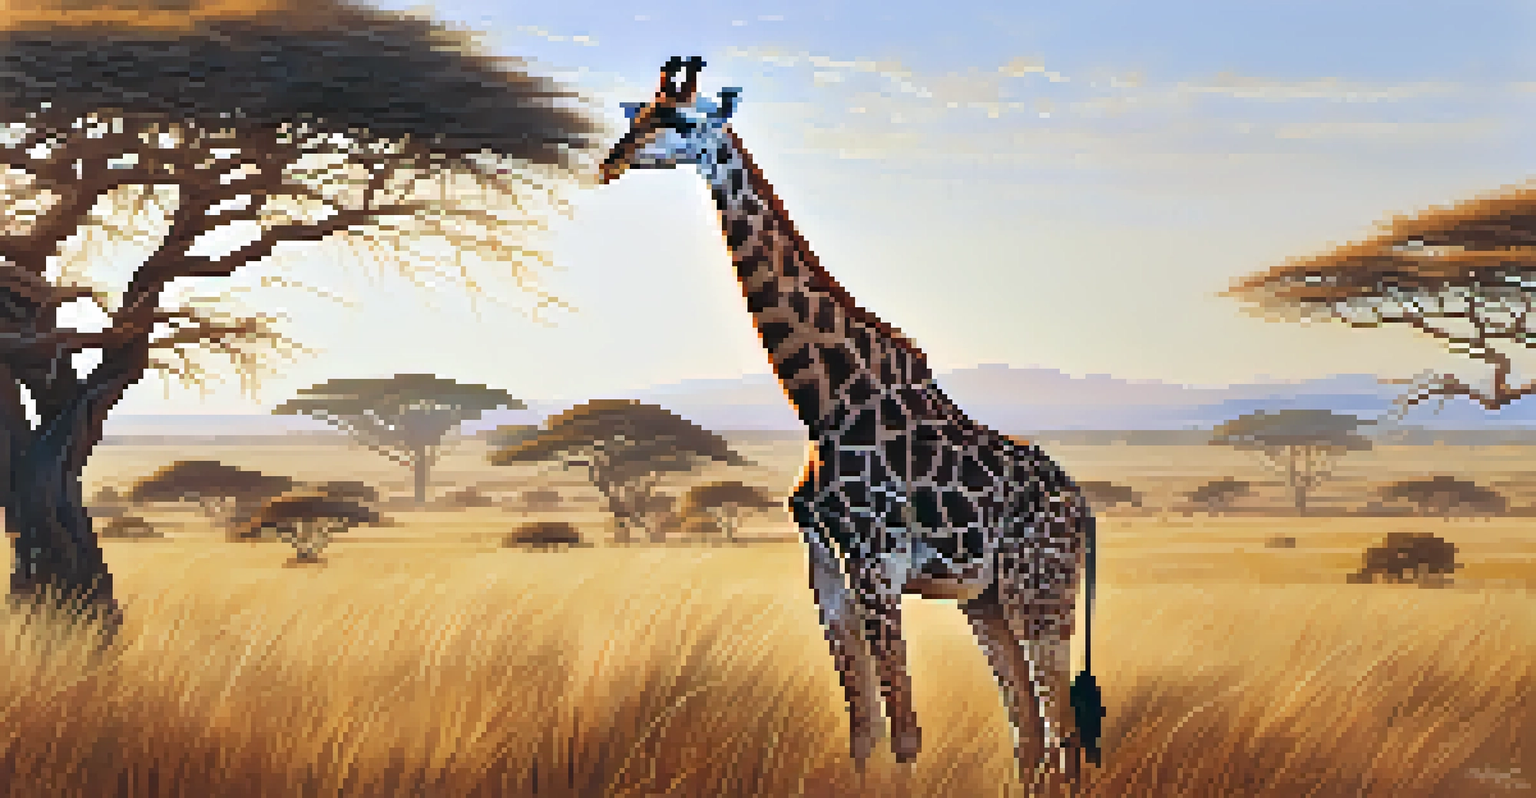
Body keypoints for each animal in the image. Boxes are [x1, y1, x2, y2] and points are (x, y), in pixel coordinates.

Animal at [599, 57, 1105, 790]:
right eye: (639, 114)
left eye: (684, 120)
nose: (611, 161)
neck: (822, 398)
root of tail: (1084, 508)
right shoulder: (825, 561)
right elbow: (863, 729)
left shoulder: (877, 560)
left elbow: (906, 732)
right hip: (985, 597)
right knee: (1029, 733)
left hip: (1039, 586)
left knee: (1062, 734)